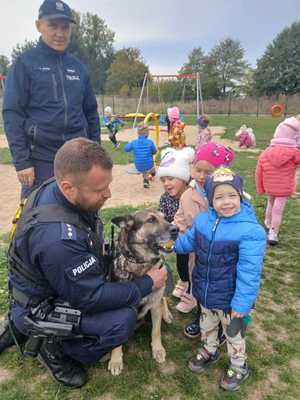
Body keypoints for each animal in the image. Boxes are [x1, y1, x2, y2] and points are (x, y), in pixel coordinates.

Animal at [108, 211, 178, 376]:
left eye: (165, 217)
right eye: (151, 220)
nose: (177, 229)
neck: (141, 265)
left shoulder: (155, 304)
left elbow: (156, 331)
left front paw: (157, 349)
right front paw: (115, 359)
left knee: (163, 298)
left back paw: (167, 314)